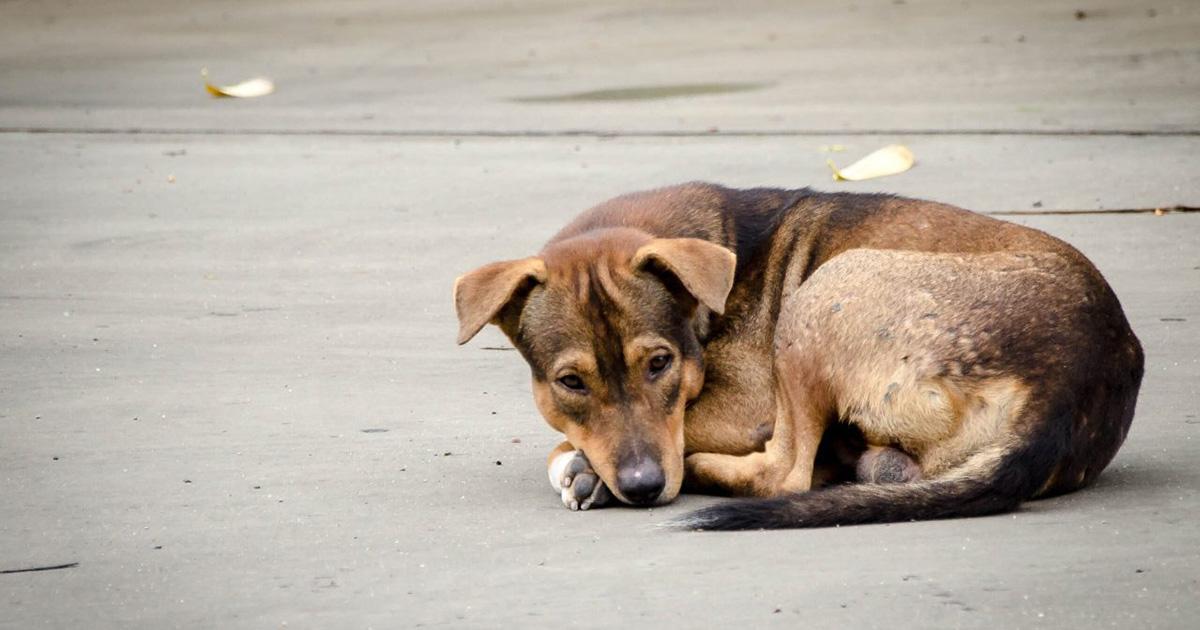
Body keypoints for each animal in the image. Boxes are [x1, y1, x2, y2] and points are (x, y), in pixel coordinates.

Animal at [451, 182, 1142, 530]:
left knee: (785, 473)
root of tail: (1067, 388)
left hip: (822, 295)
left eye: (659, 364)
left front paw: (581, 466)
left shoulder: (744, 404)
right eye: (570, 382)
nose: (644, 488)